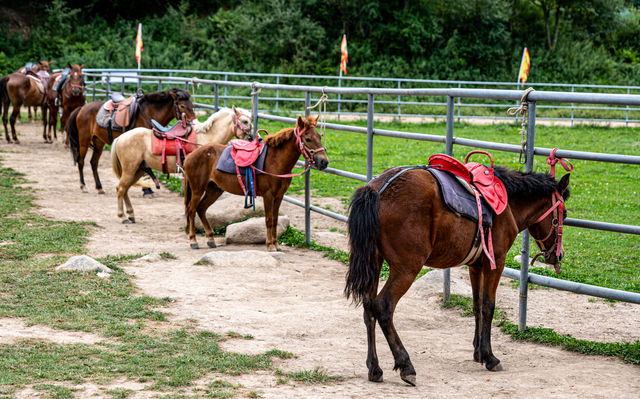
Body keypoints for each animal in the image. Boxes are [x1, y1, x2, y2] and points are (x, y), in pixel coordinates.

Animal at [68, 87, 196, 194]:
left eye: (192, 104)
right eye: (182, 106)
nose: (194, 121)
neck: (148, 114)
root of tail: (82, 108)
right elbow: (146, 169)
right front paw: (147, 190)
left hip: (98, 141)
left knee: (93, 163)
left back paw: (99, 187)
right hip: (84, 140)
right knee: (81, 161)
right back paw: (83, 186)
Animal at [181, 115, 328, 252]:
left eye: (319, 137)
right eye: (308, 139)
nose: (324, 162)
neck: (274, 161)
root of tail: (190, 156)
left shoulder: (279, 196)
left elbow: (275, 220)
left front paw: (276, 245)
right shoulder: (268, 196)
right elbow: (269, 220)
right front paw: (270, 246)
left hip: (214, 190)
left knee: (201, 209)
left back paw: (210, 239)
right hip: (198, 190)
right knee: (191, 210)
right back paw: (193, 241)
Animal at [344, 162, 568, 388]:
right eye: (564, 214)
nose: (558, 256)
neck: (507, 205)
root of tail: (378, 189)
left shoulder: (476, 266)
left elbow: (477, 305)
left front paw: (478, 352)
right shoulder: (496, 263)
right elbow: (488, 306)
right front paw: (490, 357)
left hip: (375, 261)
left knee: (368, 308)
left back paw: (374, 368)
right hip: (406, 269)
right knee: (383, 306)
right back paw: (406, 365)